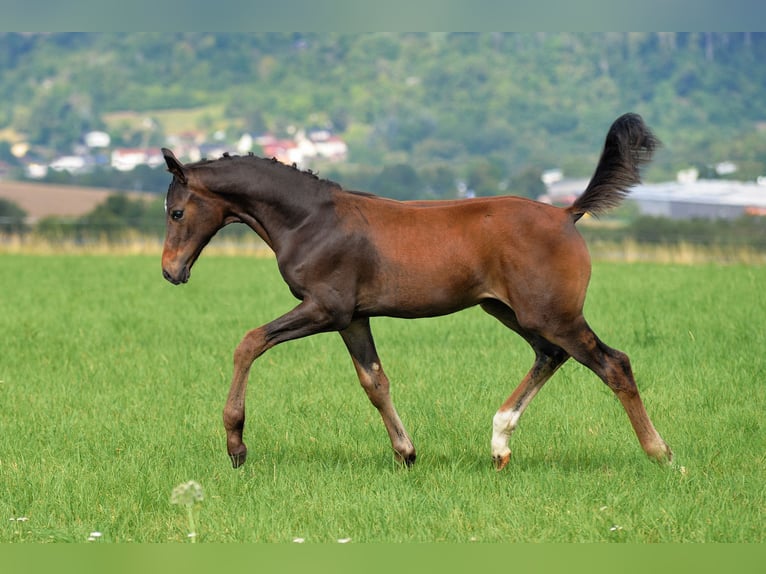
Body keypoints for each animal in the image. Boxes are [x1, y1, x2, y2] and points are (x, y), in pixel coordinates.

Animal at [161, 113, 672, 470]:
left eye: (176, 212)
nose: (170, 271)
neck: (311, 220)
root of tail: (567, 213)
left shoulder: (325, 308)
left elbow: (249, 343)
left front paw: (236, 445)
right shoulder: (353, 317)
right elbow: (374, 381)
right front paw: (406, 453)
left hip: (552, 314)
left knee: (612, 363)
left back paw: (660, 453)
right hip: (511, 311)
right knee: (551, 355)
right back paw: (499, 444)